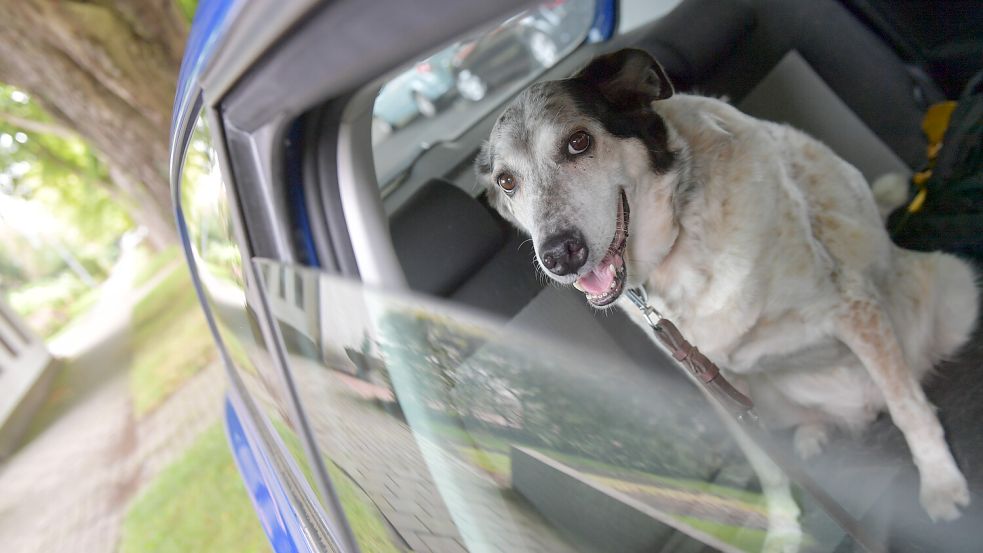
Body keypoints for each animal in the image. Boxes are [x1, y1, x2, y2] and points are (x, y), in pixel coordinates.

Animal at [476, 48, 976, 540]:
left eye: (578, 142)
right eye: (507, 182)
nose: (559, 255)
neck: (675, 251)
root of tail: (862, 411)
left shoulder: (849, 305)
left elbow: (909, 408)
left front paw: (940, 484)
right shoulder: (715, 384)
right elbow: (768, 466)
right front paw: (784, 531)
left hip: (955, 285)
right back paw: (813, 435)